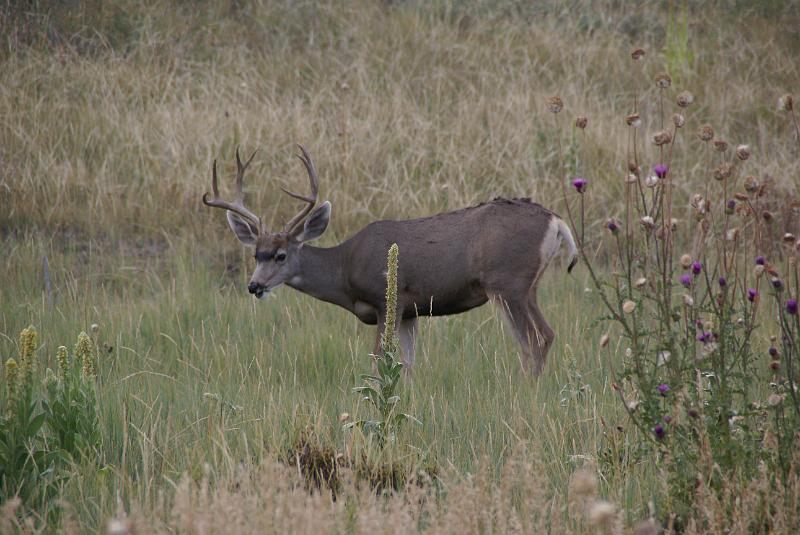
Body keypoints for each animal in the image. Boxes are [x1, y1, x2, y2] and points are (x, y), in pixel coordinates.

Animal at [203, 144, 580, 374]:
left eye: (281, 255)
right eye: (257, 254)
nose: (254, 285)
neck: (344, 269)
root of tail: (556, 221)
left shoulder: (389, 300)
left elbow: (378, 361)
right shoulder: (412, 311)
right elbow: (409, 363)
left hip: (507, 284)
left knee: (535, 339)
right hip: (527, 287)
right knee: (545, 335)